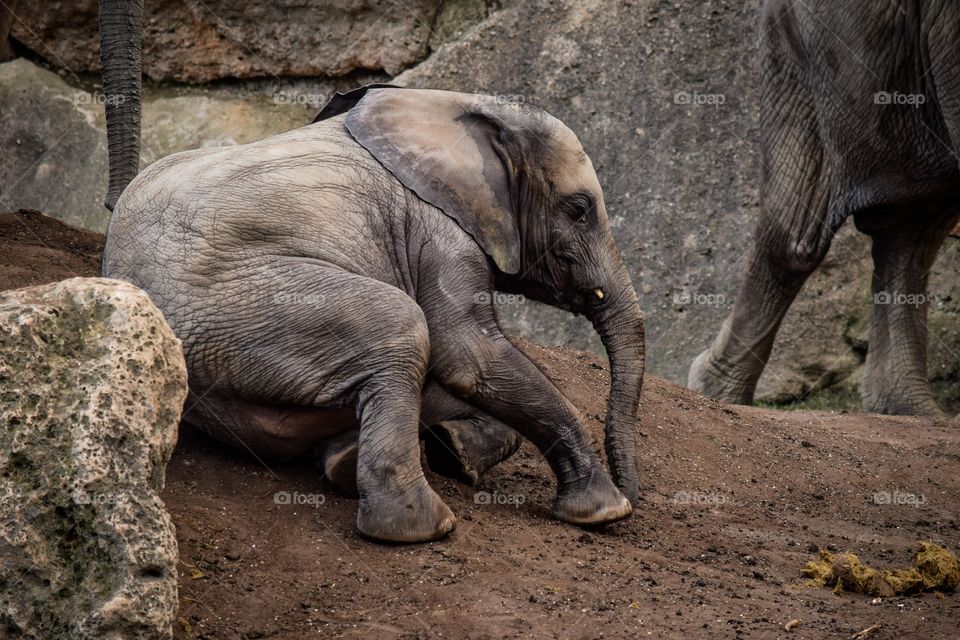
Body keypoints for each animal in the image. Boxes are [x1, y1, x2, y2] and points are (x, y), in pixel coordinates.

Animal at [97, 5, 645, 542]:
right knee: (401, 329)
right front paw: (604, 512)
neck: (450, 105)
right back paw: (419, 527)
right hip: (247, 307)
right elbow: (469, 354)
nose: (638, 500)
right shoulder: (436, 229)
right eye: (578, 210)